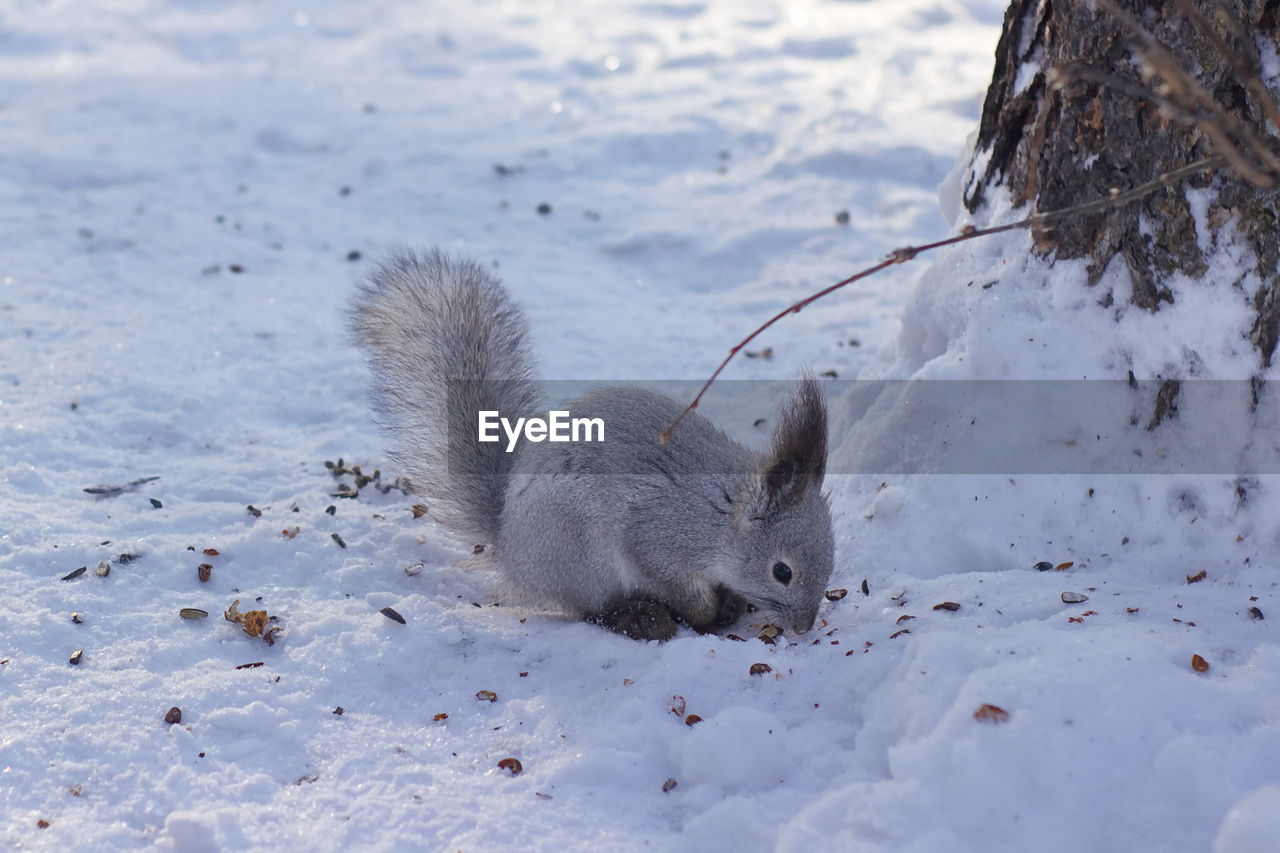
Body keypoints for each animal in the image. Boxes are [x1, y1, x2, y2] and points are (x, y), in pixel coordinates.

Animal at [350, 245, 834, 637]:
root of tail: (509, 545)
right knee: (588, 608)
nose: (804, 627)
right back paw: (635, 618)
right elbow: (676, 586)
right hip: (579, 552)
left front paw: (731, 601)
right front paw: (706, 615)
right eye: (782, 572)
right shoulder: (656, 538)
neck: (720, 516)